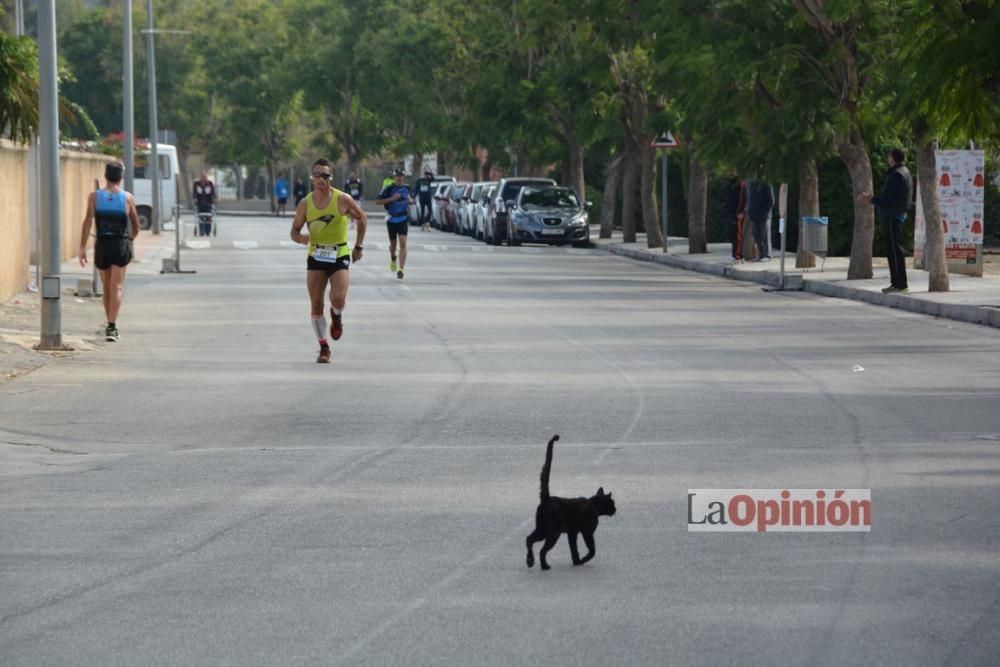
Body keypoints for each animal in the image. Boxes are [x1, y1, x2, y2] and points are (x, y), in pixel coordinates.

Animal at [524, 436, 616, 572]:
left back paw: (530, 561)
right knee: (542, 550)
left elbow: (573, 548)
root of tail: (546, 499)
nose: (615, 509)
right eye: (612, 503)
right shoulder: (587, 532)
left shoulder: (573, 533)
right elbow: (592, 550)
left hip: (542, 529)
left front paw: (576, 561)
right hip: (553, 533)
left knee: (529, 539)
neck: (593, 505)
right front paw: (583, 560)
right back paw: (544, 566)